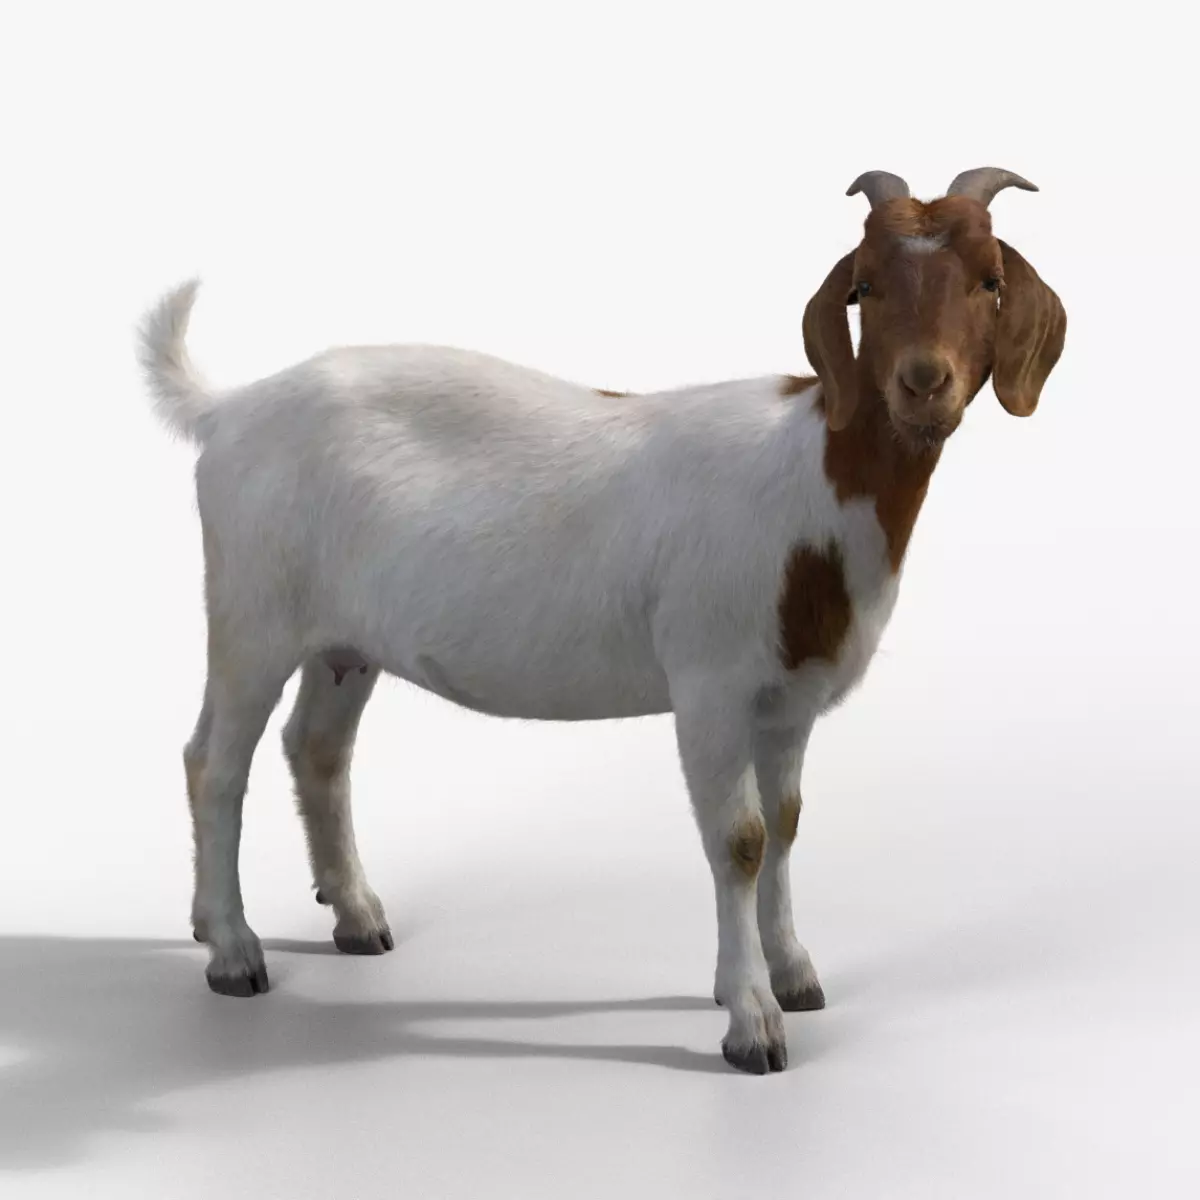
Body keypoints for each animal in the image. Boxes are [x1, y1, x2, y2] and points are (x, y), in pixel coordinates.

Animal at [138, 166, 1066, 1075]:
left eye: (989, 280)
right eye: (864, 286)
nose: (923, 381)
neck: (810, 479)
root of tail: (228, 410)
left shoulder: (789, 700)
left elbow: (788, 825)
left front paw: (795, 975)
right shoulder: (710, 683)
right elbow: (740, 838)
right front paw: (752, 1022)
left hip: (343, 641)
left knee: (317, 751)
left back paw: (357, 918)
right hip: (251, 611)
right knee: (214, 762)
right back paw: (232, 950)